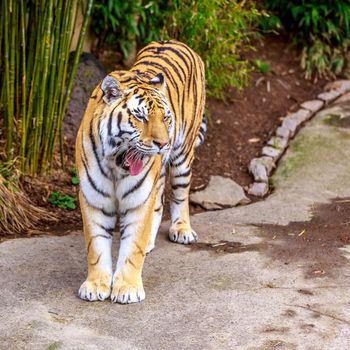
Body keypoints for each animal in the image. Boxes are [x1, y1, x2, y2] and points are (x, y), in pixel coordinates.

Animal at [74, 39, 205, 304]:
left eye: (166, 118)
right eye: (141, 117)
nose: (163, 143)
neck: (116, 162)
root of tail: (175, 41)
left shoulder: (138, 199)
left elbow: (132, 247)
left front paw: (127, 289)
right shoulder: (93, 198)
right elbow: (96, 246)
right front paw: (95, 285)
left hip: (183, 157)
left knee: (180, 195)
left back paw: (182, 230)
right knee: (159, 202)